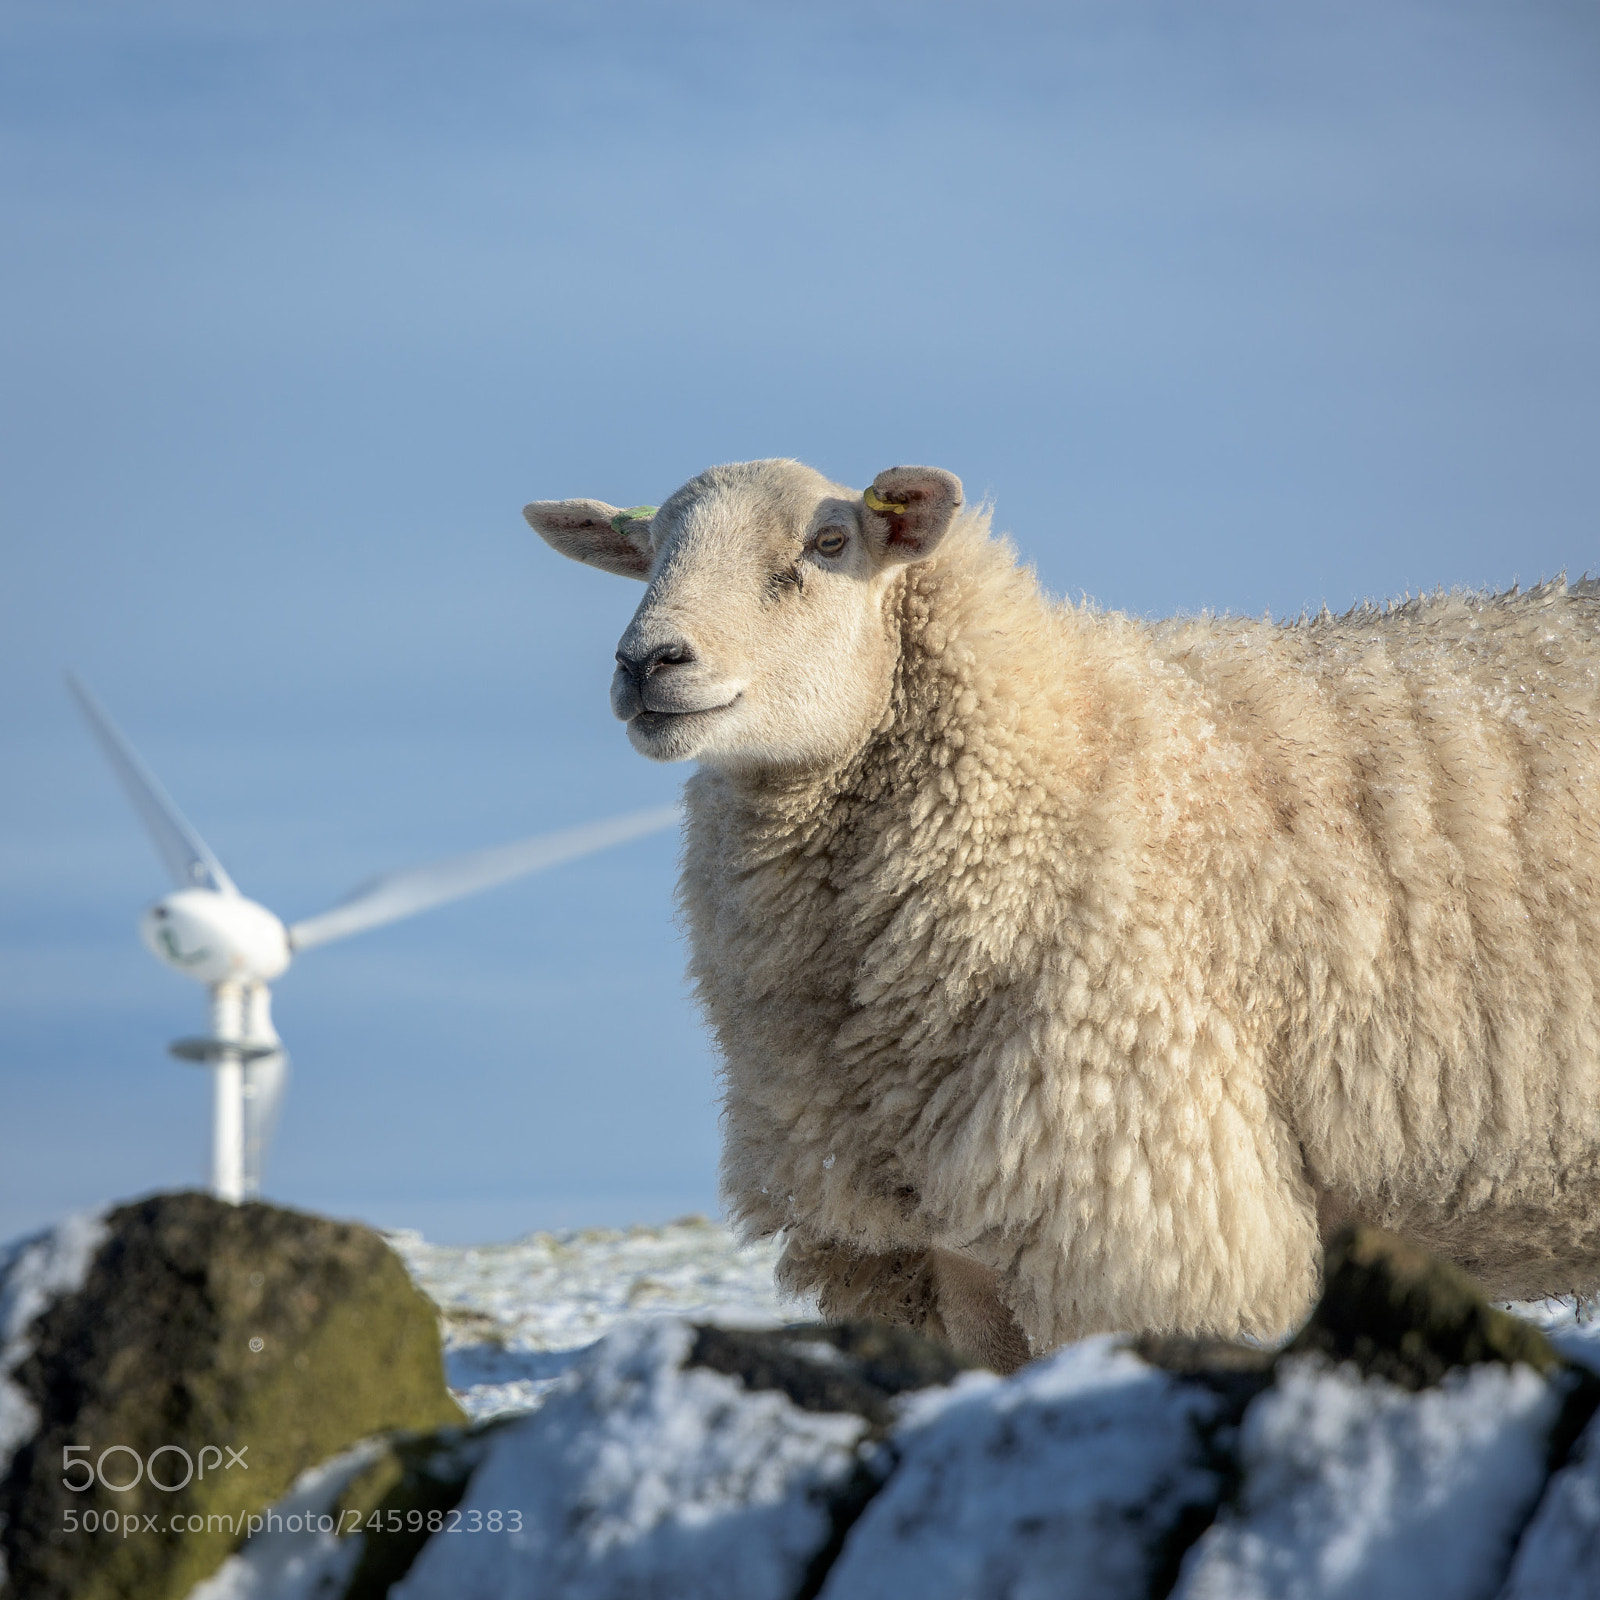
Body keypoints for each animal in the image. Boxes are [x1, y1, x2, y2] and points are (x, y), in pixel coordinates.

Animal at [526, 458, 1600, 1371]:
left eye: (828, 544)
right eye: (649, 550)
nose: (648, 662)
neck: (1060, 752)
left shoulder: (1140, 1214)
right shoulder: (936, 1248)